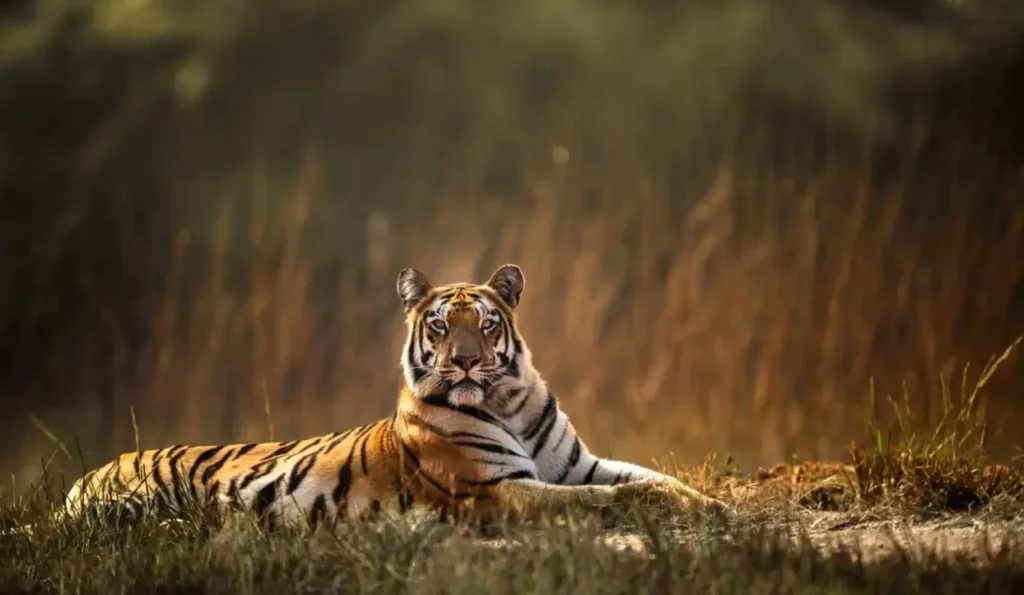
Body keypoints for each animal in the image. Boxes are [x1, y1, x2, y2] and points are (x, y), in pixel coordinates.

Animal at [24, 264, 719, 531]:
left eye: (484, 323)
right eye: (439, 326)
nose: (465, 360)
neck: (508, 401)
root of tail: (90, 473)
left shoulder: (579, 465)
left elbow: (653, 478)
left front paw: (709, 504)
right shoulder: (496, 489)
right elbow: (610, 498)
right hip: (125, 505)